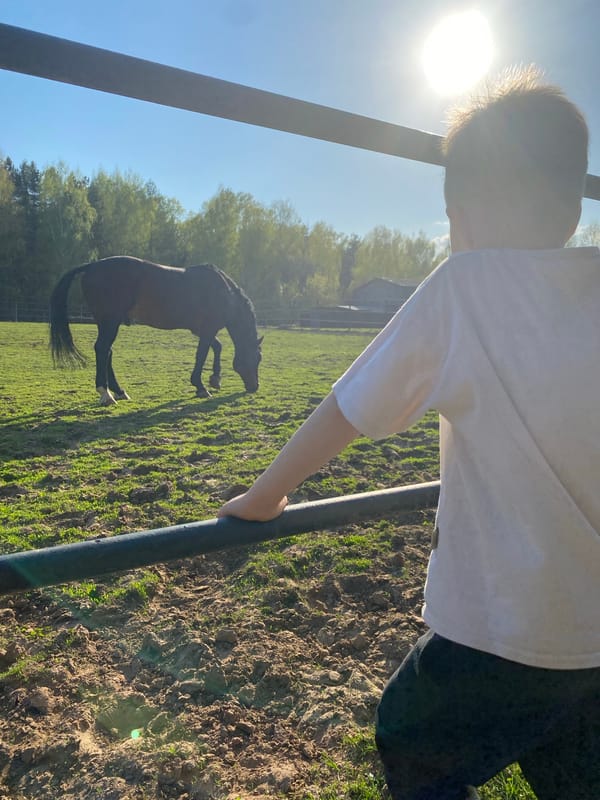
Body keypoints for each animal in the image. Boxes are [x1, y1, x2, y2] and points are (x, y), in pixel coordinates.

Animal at [49, 256, 263, 405]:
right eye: (257, 358)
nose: (254, 387)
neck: (224, 294)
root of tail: (92, 266)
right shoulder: (208, 329)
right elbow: (202, 354)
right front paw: (201, 386)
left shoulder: (200, 330)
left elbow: (217, 347)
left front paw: (215, 379)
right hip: (110, 322)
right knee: (102, 349)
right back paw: (107, 394)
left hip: (108, 323)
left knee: (107, 351)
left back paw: (119, 391)